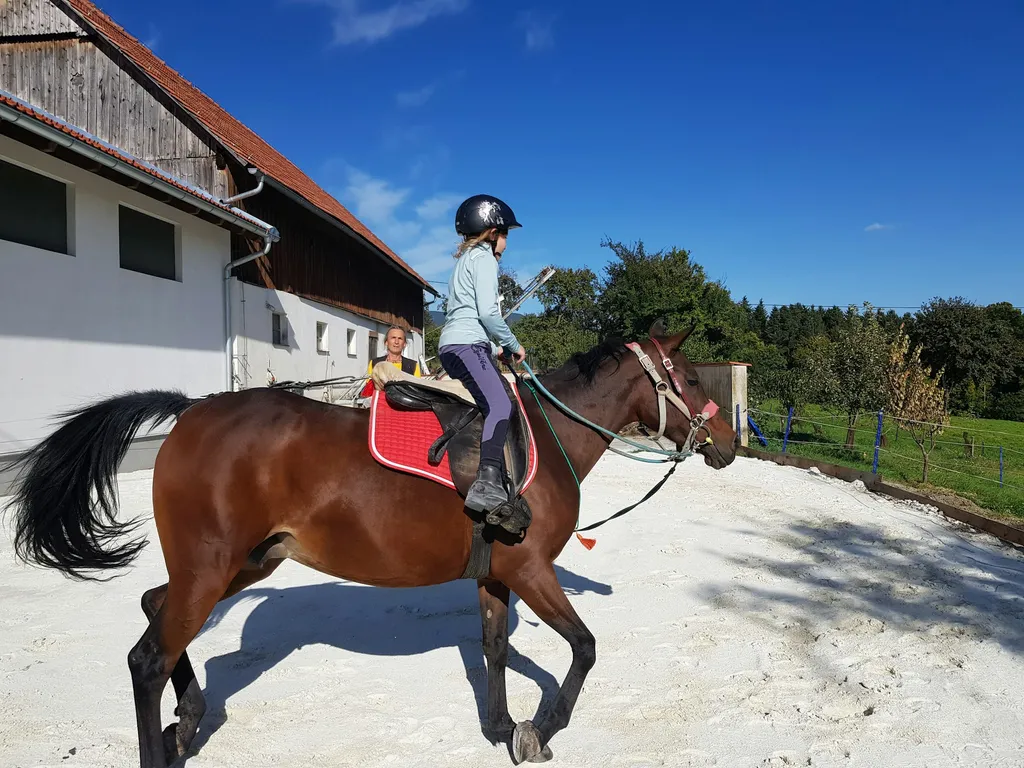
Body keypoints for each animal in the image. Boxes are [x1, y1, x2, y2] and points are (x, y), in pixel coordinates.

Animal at [3, 323, 738, 767]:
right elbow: (584, 648)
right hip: (211, 568)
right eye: (689, 378)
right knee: (148, 658)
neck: (540, 441)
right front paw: (538, 729)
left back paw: (188, 719)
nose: (729, 443)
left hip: (241, 562)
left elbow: (496, 648)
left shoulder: (497, 574)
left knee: (157, 608)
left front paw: (501, 727)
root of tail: (193, 409)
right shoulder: (532, 570)